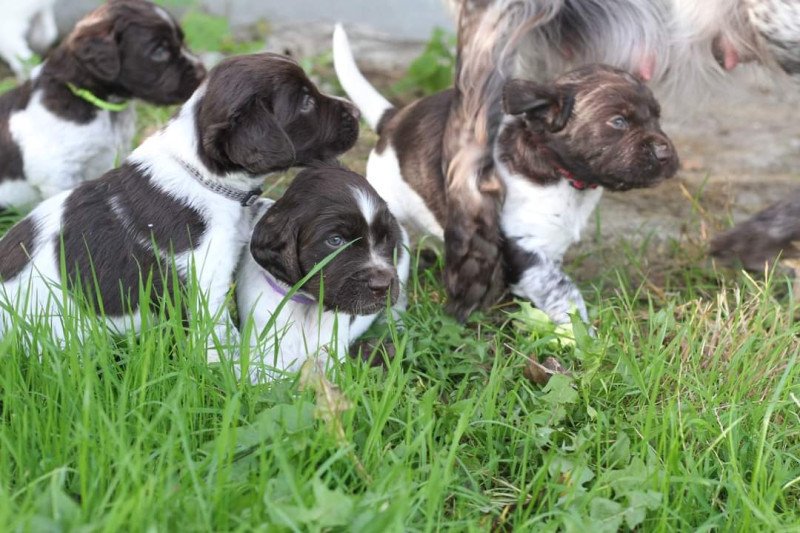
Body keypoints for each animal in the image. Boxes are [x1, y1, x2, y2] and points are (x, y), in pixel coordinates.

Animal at [236, 164, 412, 380]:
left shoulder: (330, 354)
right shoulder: (265, 357)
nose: (382, 286)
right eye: (335, 240)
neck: (307, 306)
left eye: (385, 238)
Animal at [334, 26, 680, 324]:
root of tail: (394, 119)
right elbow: (565, 293)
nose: (666, 154)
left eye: (657, 117)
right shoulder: (526, 248)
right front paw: (583, 337)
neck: (560, 174)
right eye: (618, 122)